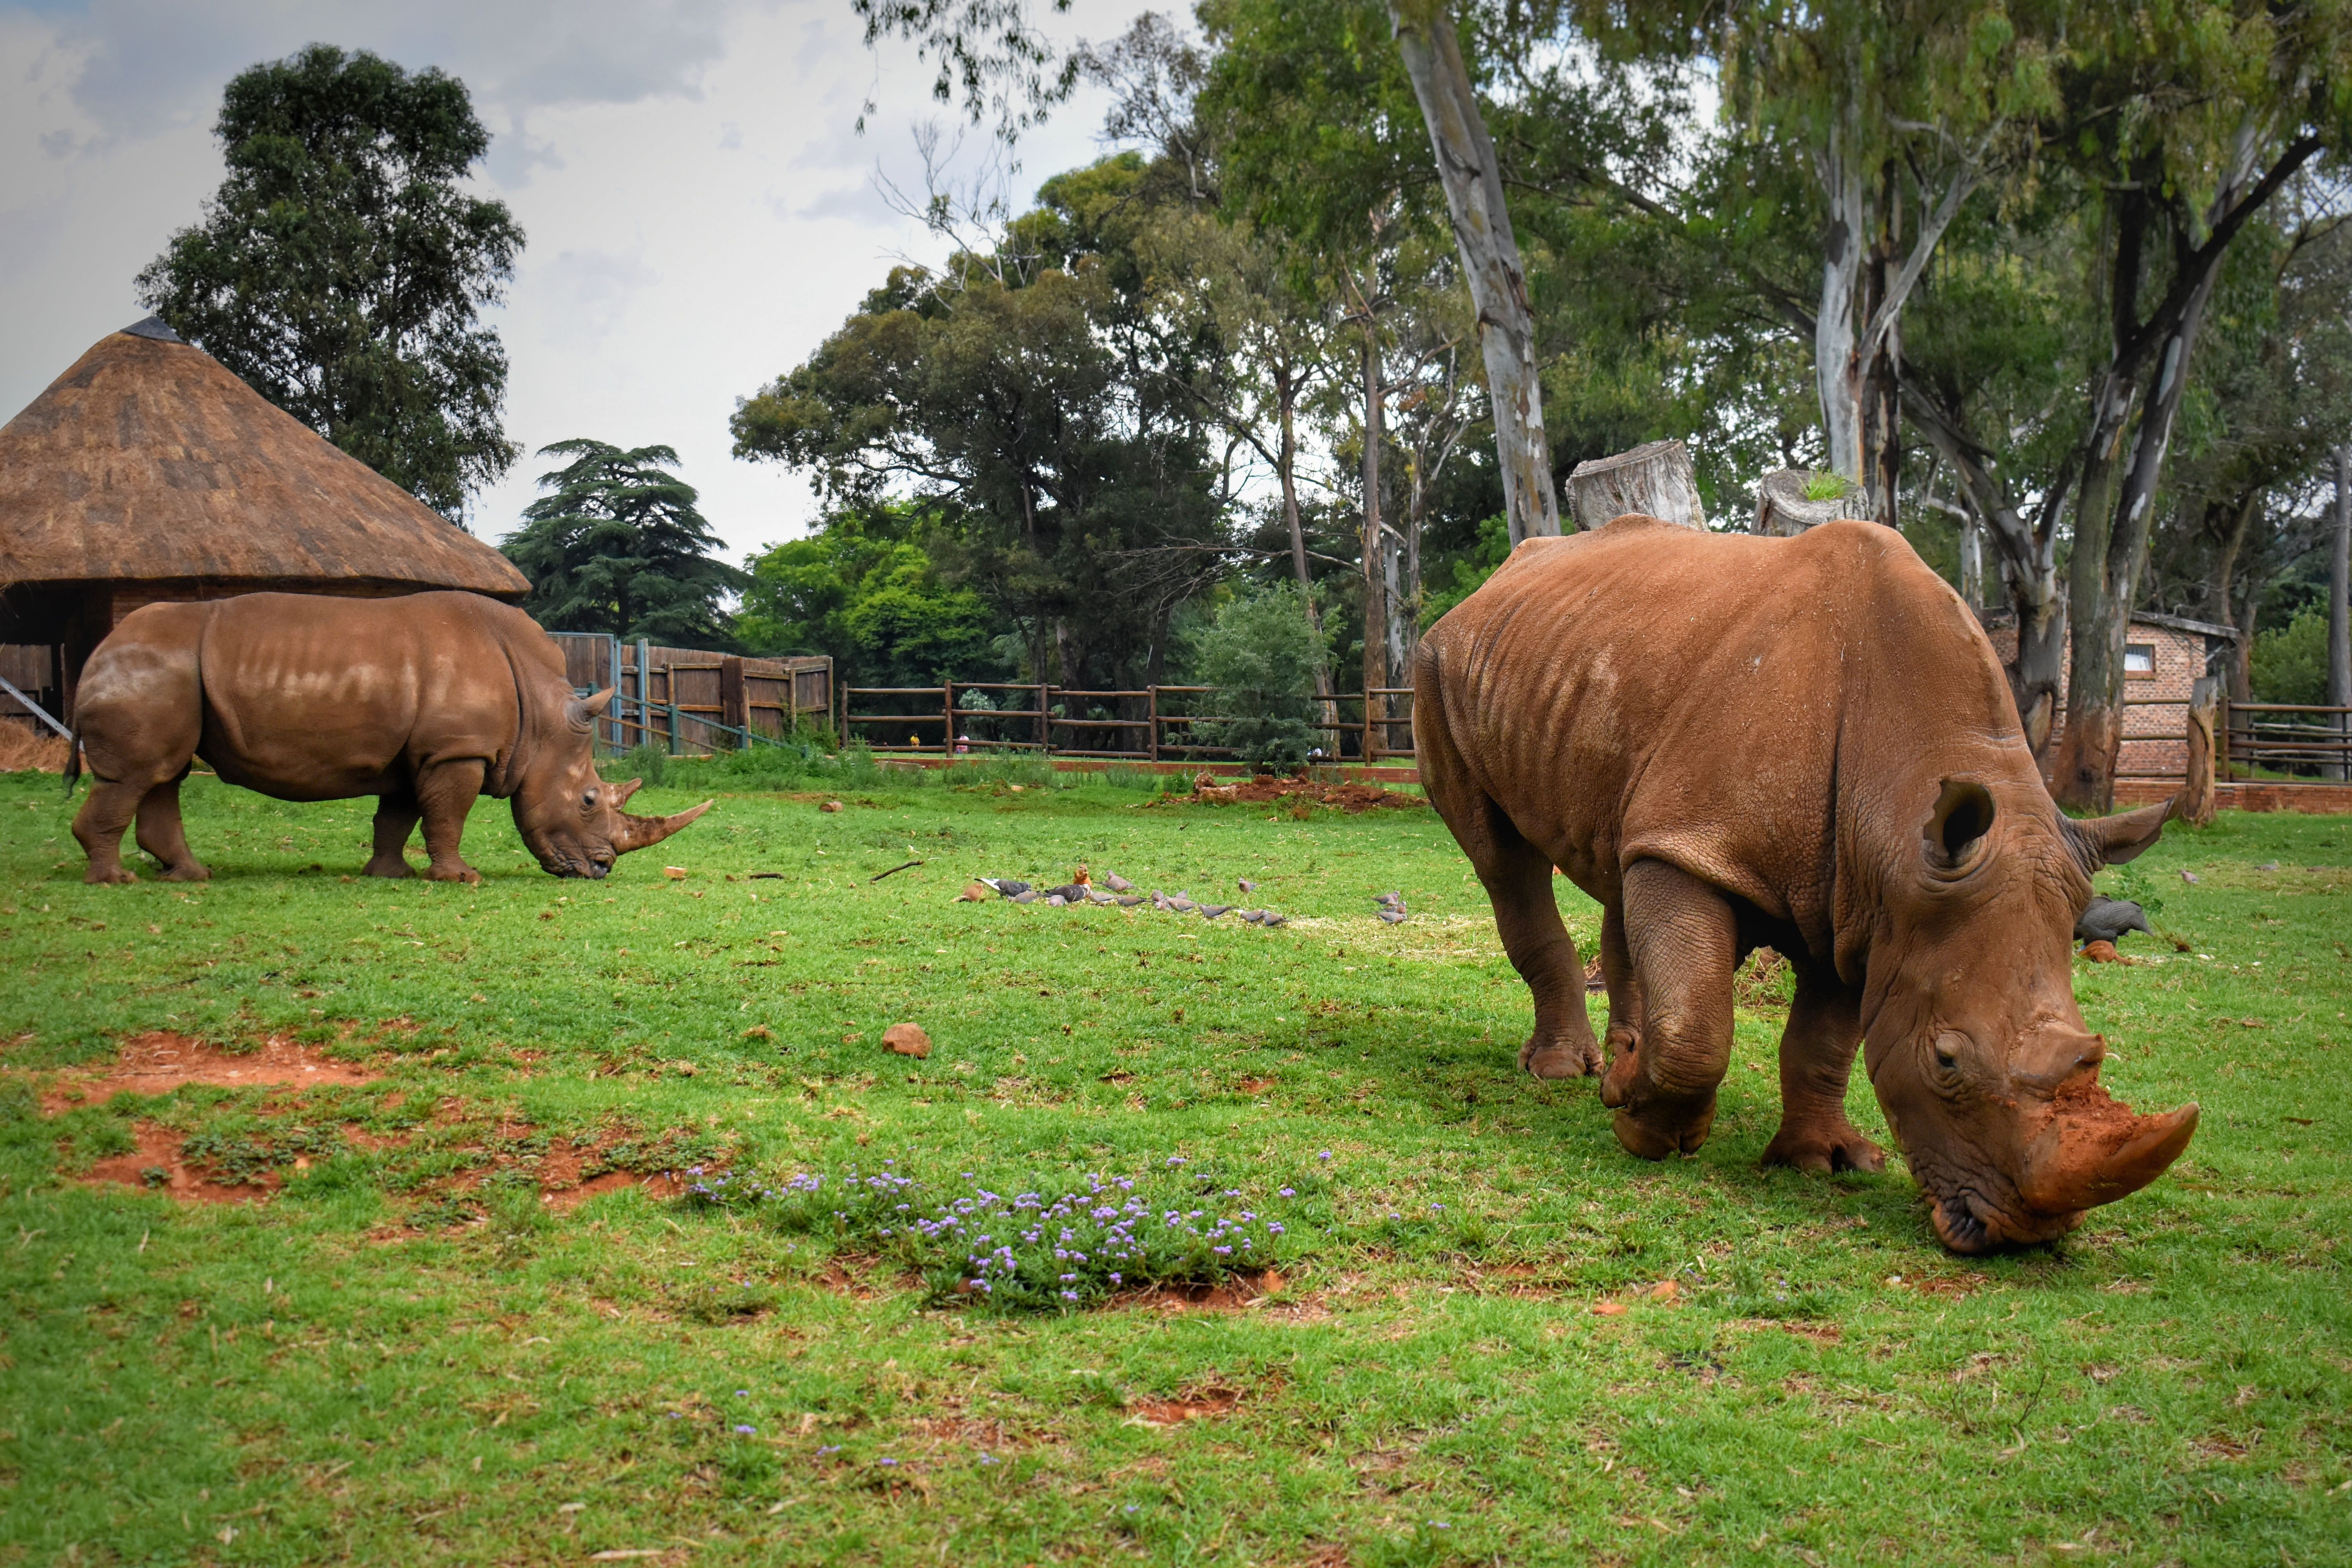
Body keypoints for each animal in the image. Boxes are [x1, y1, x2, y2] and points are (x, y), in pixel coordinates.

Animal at [68, 591, 709, 885]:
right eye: (588, 800)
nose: (601, 869)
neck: (543, 719)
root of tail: (97, 652)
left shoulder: (420, 753)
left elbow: (398, 815)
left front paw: (389, 875)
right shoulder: (457, 751)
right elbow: (447, 815)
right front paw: (460, 878)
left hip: (165, 673)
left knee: (163, 773)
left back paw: (188, 876)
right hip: (151, 669)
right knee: (138, 775)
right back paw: (118, 880)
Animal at [1415, 516, 2198, 1253]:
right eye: (1945, 1060)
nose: (2025, 1236)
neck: (1899, 791)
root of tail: (1491, 587)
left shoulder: (1875, 906)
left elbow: (1823, 1043)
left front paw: (1825, 1161)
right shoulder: (1710, 846)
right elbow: (1700, 1026)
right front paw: (1650, 1135)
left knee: (1621, 862)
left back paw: (1617, 1071)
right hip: (1439, 666)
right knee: (1504, 863)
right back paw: (1561, 1074)